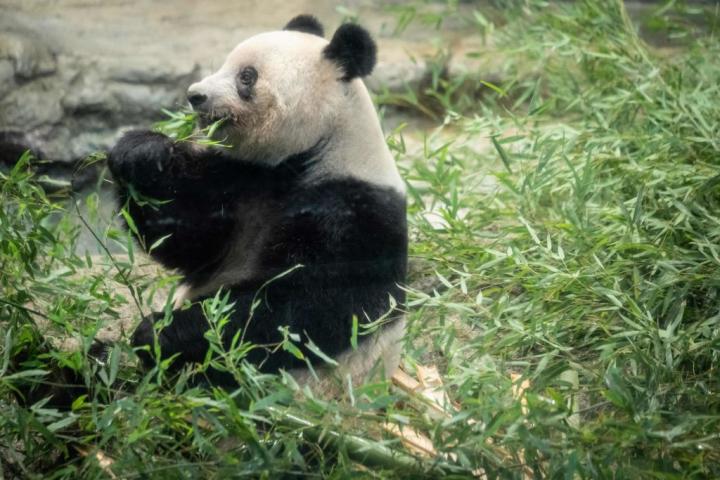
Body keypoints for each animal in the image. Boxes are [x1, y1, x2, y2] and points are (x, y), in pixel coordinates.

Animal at [107, 15, 408, 390]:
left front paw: (158, 332)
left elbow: (301, 311)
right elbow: (188, 237)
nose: (195, 95)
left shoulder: (354, 214)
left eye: (246, 76)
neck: (313, 153)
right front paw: (140, 153)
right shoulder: (243, 178)